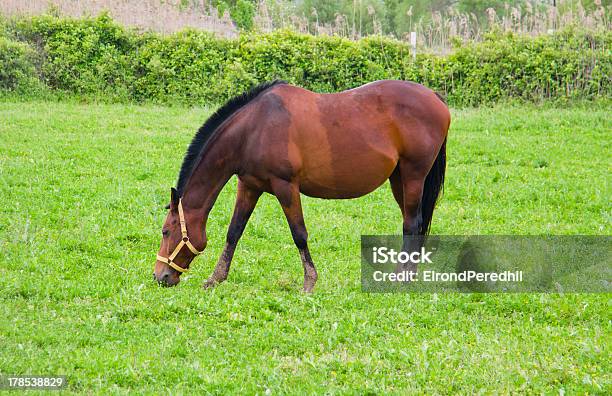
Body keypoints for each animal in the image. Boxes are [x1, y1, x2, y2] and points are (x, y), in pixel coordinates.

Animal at [153, 79, 450, 290]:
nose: (161, 276)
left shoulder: (286, 187)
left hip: (413, 176)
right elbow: (234, 232)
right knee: (415, 224)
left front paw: (309, 282)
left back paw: (402, 279)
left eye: (166, 231)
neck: (254, 128)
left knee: (411, 224)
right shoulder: (249, 186)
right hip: (399, 179)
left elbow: (299, 234)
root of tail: (435, 97)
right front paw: (215, 278)